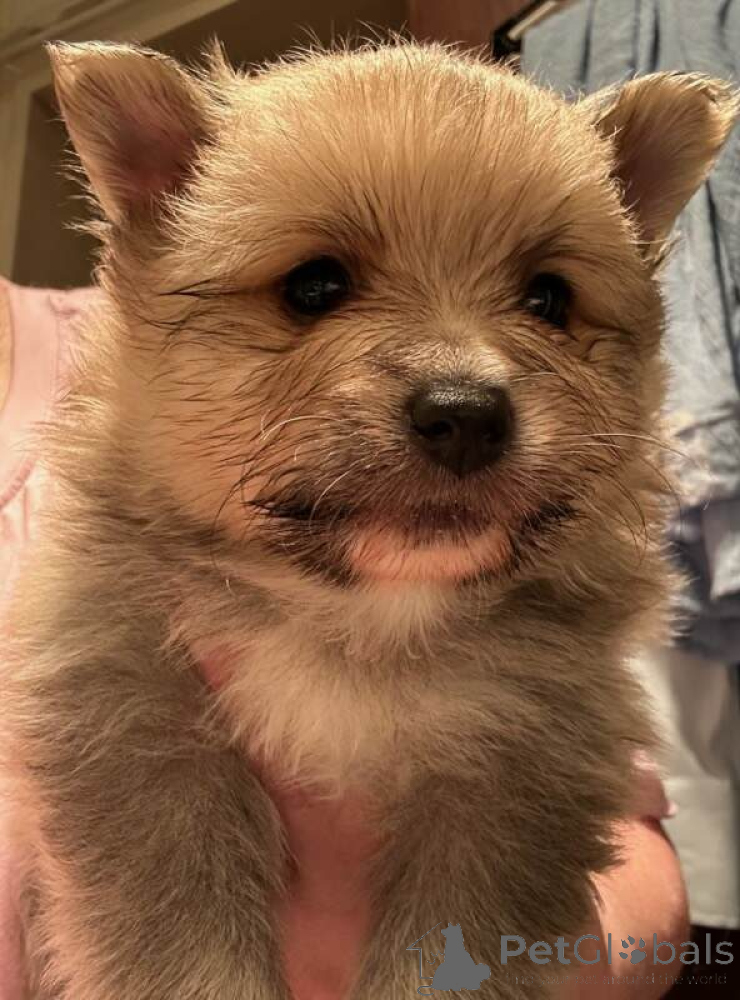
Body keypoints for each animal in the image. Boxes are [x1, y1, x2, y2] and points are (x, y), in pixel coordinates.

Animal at [1, 36, 736, 1000]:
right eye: (315, 286)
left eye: (548, 298)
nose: (466, 412)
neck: (359, 623)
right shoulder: (135, 731)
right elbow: (184, 936)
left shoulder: (507, 773)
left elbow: (451, 950)